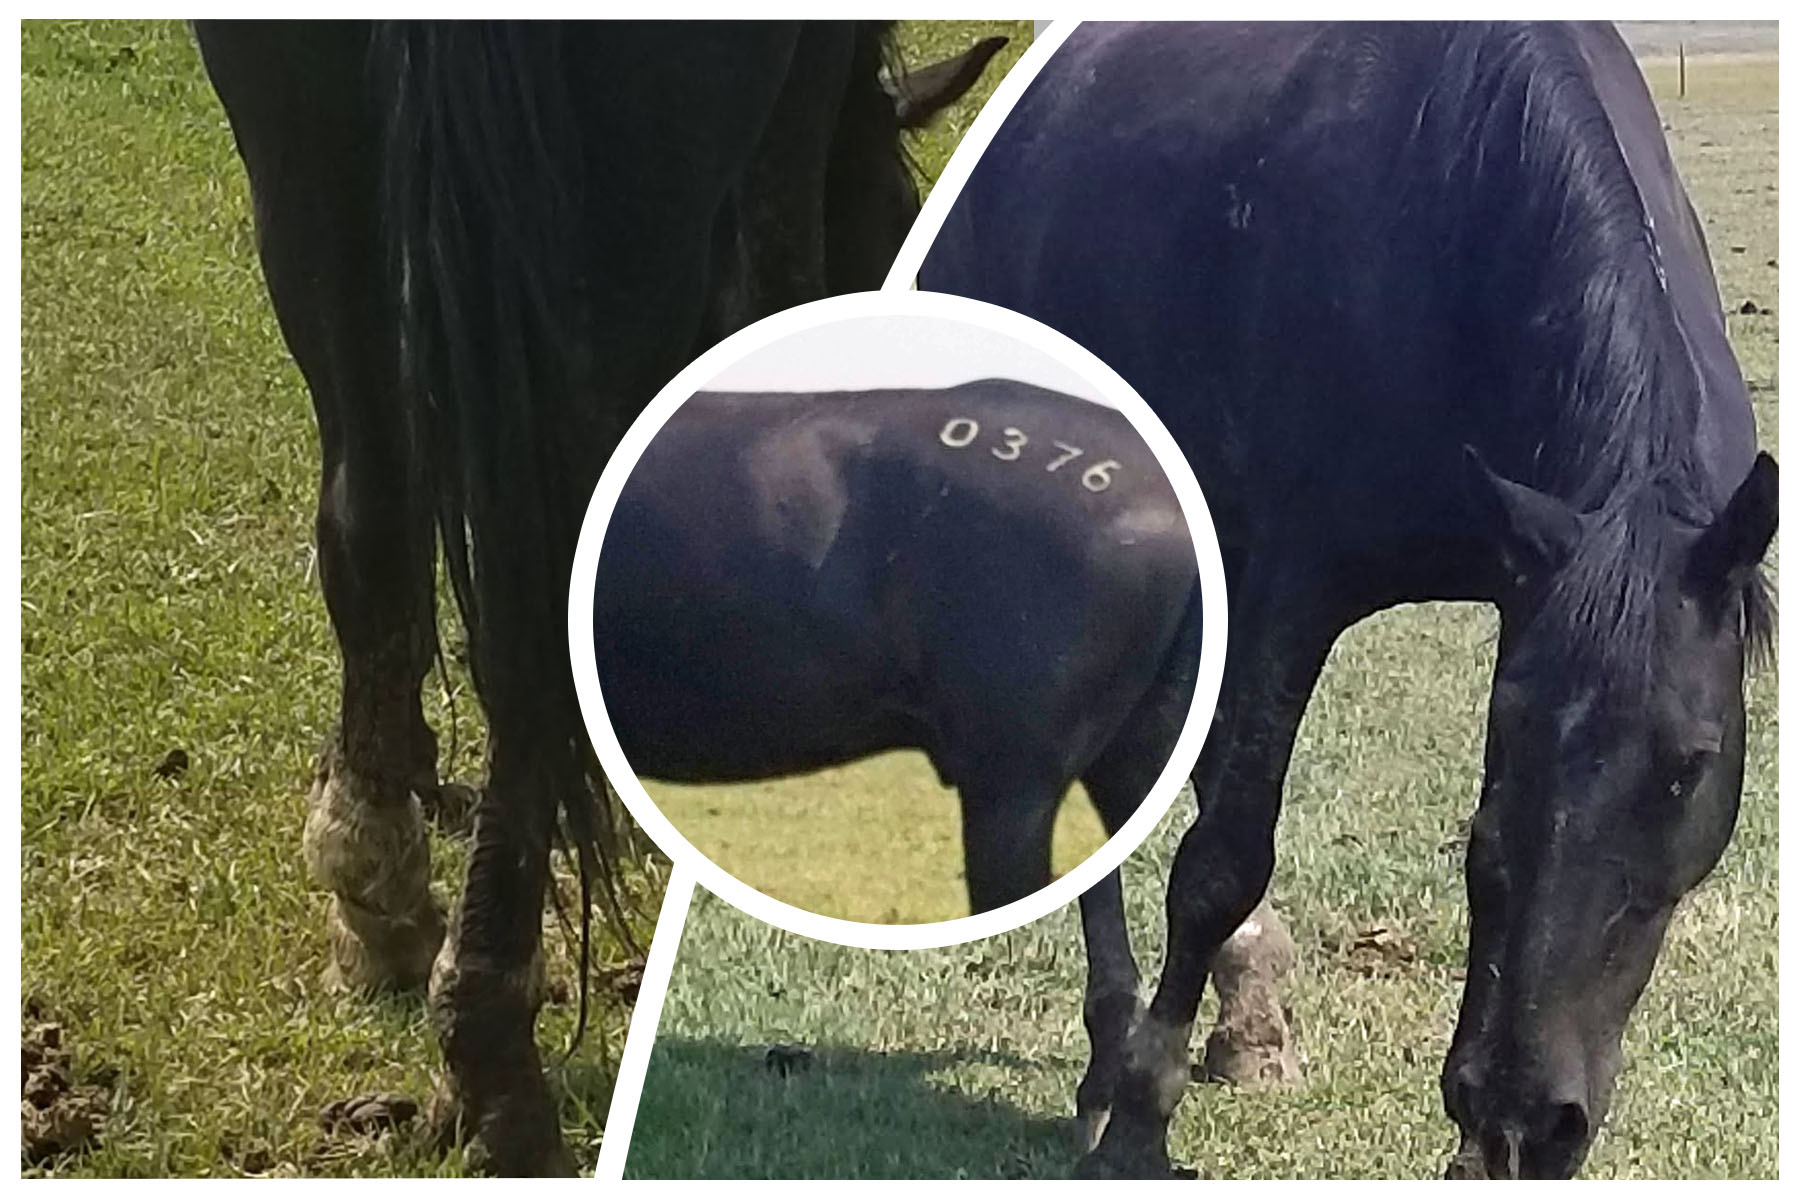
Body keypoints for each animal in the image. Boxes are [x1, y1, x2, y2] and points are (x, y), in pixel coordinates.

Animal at [920, 21, 1777, 1179]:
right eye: (1510, 731)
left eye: (1689, 764)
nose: (1522, 1116)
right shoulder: (1291, 583)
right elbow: (1222, 857)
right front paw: (1141, 1110)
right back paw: (1112, 1061)